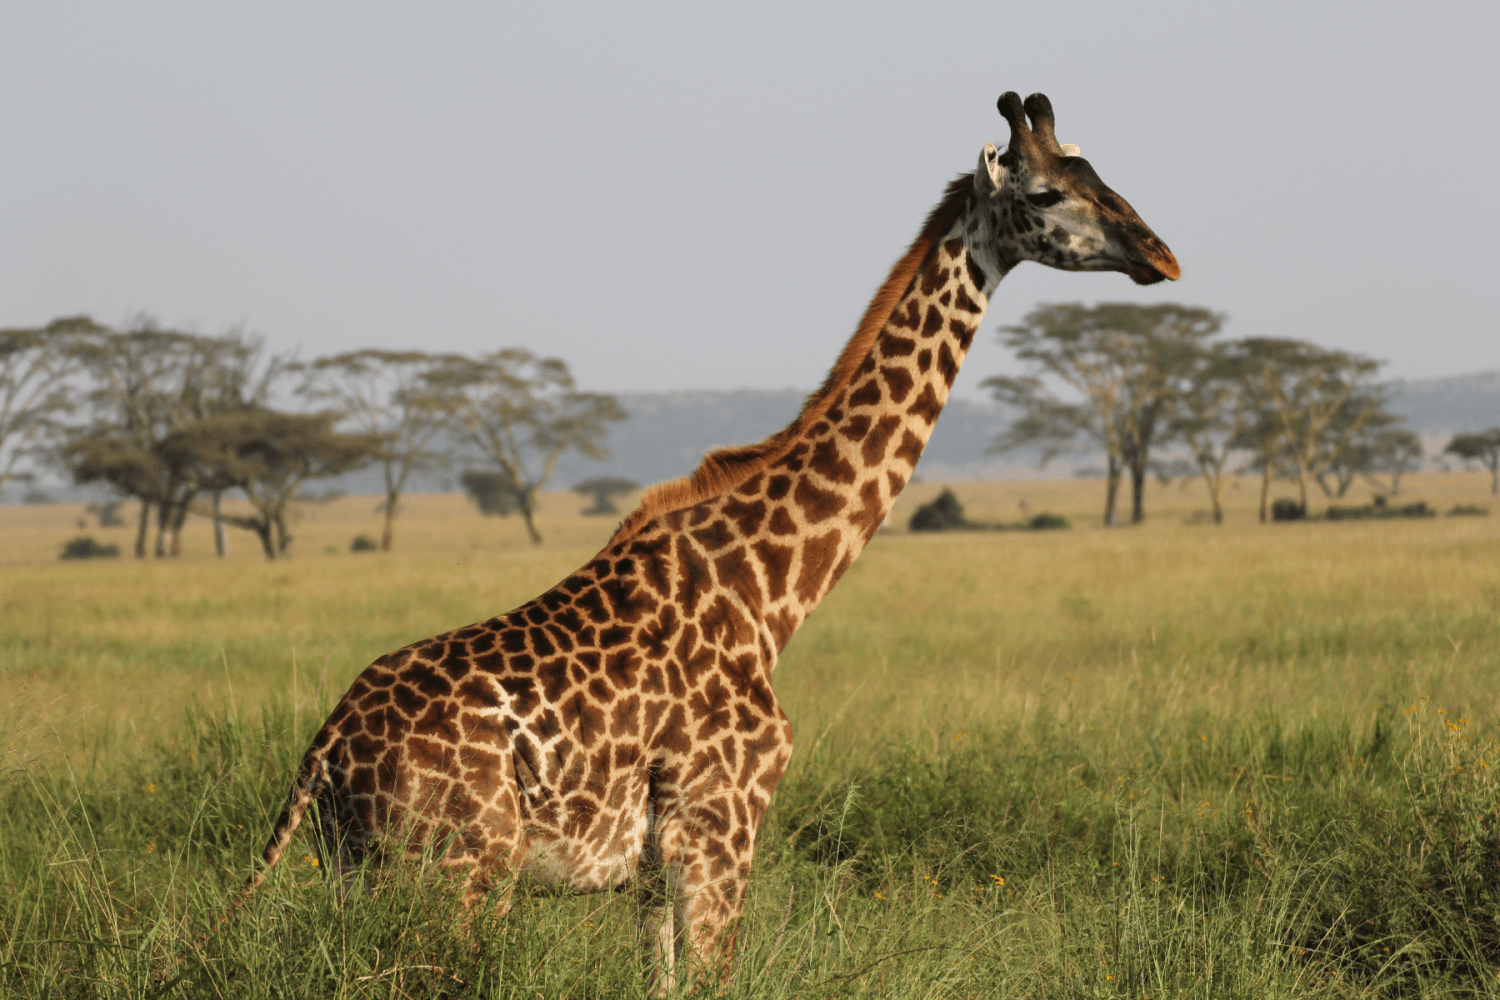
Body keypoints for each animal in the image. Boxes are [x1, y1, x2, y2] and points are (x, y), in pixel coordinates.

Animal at [246, 91, 1176, 983]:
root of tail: (325, 752)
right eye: (1047, 192)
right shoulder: (721, 825)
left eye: (1100, 171)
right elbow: (713, 976)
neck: (770, 591)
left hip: (364, 873)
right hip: (463, 871)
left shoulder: (657, 868)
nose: (1160, 255)